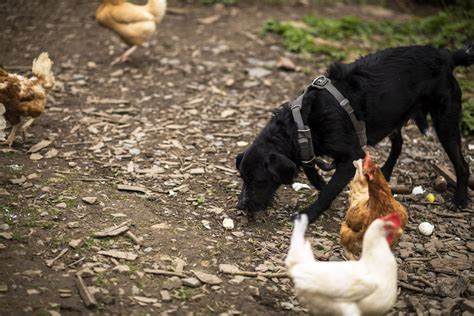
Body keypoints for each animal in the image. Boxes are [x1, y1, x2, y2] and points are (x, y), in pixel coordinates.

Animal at [235, 44, 472, 223]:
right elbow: (315, 174)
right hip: (391, 118)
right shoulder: (308, 149)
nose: (241, 206)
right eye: (243, 178)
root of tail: (446, 56)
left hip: (445, 122)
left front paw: (309, 214)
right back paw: (385, 173)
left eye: (259, 181)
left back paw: (460, 199)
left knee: (462, 164)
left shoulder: (351, 156)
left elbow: (329, 190)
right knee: (399, 144)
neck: (302, 123)